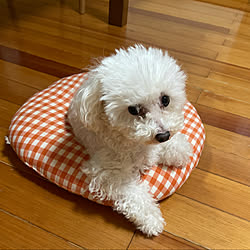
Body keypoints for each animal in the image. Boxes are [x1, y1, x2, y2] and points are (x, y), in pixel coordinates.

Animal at [67, 44, 192, 236]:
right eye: (133, 110)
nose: (163, 136)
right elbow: (132, 193)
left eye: (165, 99)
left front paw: (178, 149)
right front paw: (151, 219)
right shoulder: (108, 172)